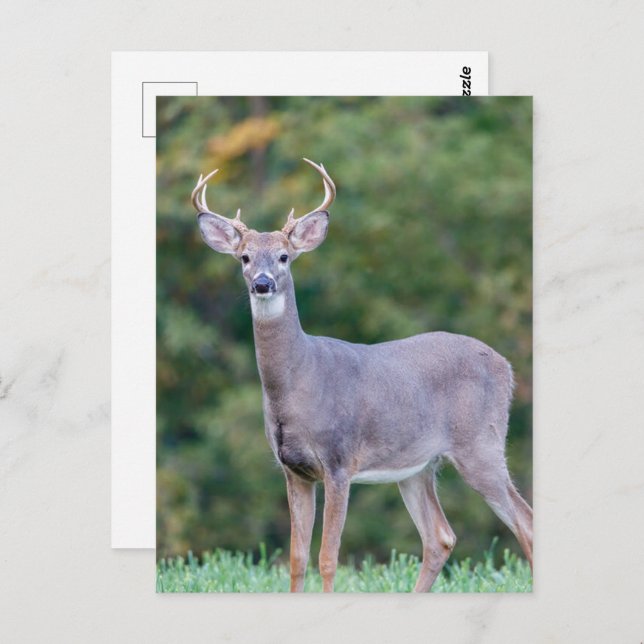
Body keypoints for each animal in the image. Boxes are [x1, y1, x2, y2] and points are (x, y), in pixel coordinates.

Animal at [191, 159, 533, 593]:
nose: (262, 284)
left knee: (524, 521)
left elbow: (328, 557)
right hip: (418, 465)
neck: (299, 383)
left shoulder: (339, 462)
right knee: (440, 536)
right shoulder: (293, 470)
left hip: (481, 443)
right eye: (244, 257)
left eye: (284, 256)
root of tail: (507, 367)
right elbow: (297, 558)